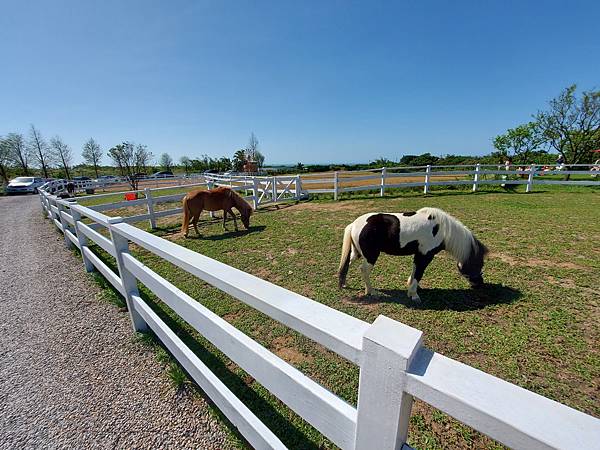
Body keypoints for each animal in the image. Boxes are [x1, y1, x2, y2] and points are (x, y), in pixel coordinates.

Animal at [338, 208, 488, 302]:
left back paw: (344, 284)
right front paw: (414, 295)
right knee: (363, 270)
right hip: (371, 256)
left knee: (346, 264)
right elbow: (419, 273)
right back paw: (371, 292)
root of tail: (354, 224)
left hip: (357, 253)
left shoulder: (419, 255)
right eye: (479, 264)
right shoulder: (425, 256)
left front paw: (412, 288)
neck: (442, 230)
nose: (480, 284)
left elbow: (415, 271)